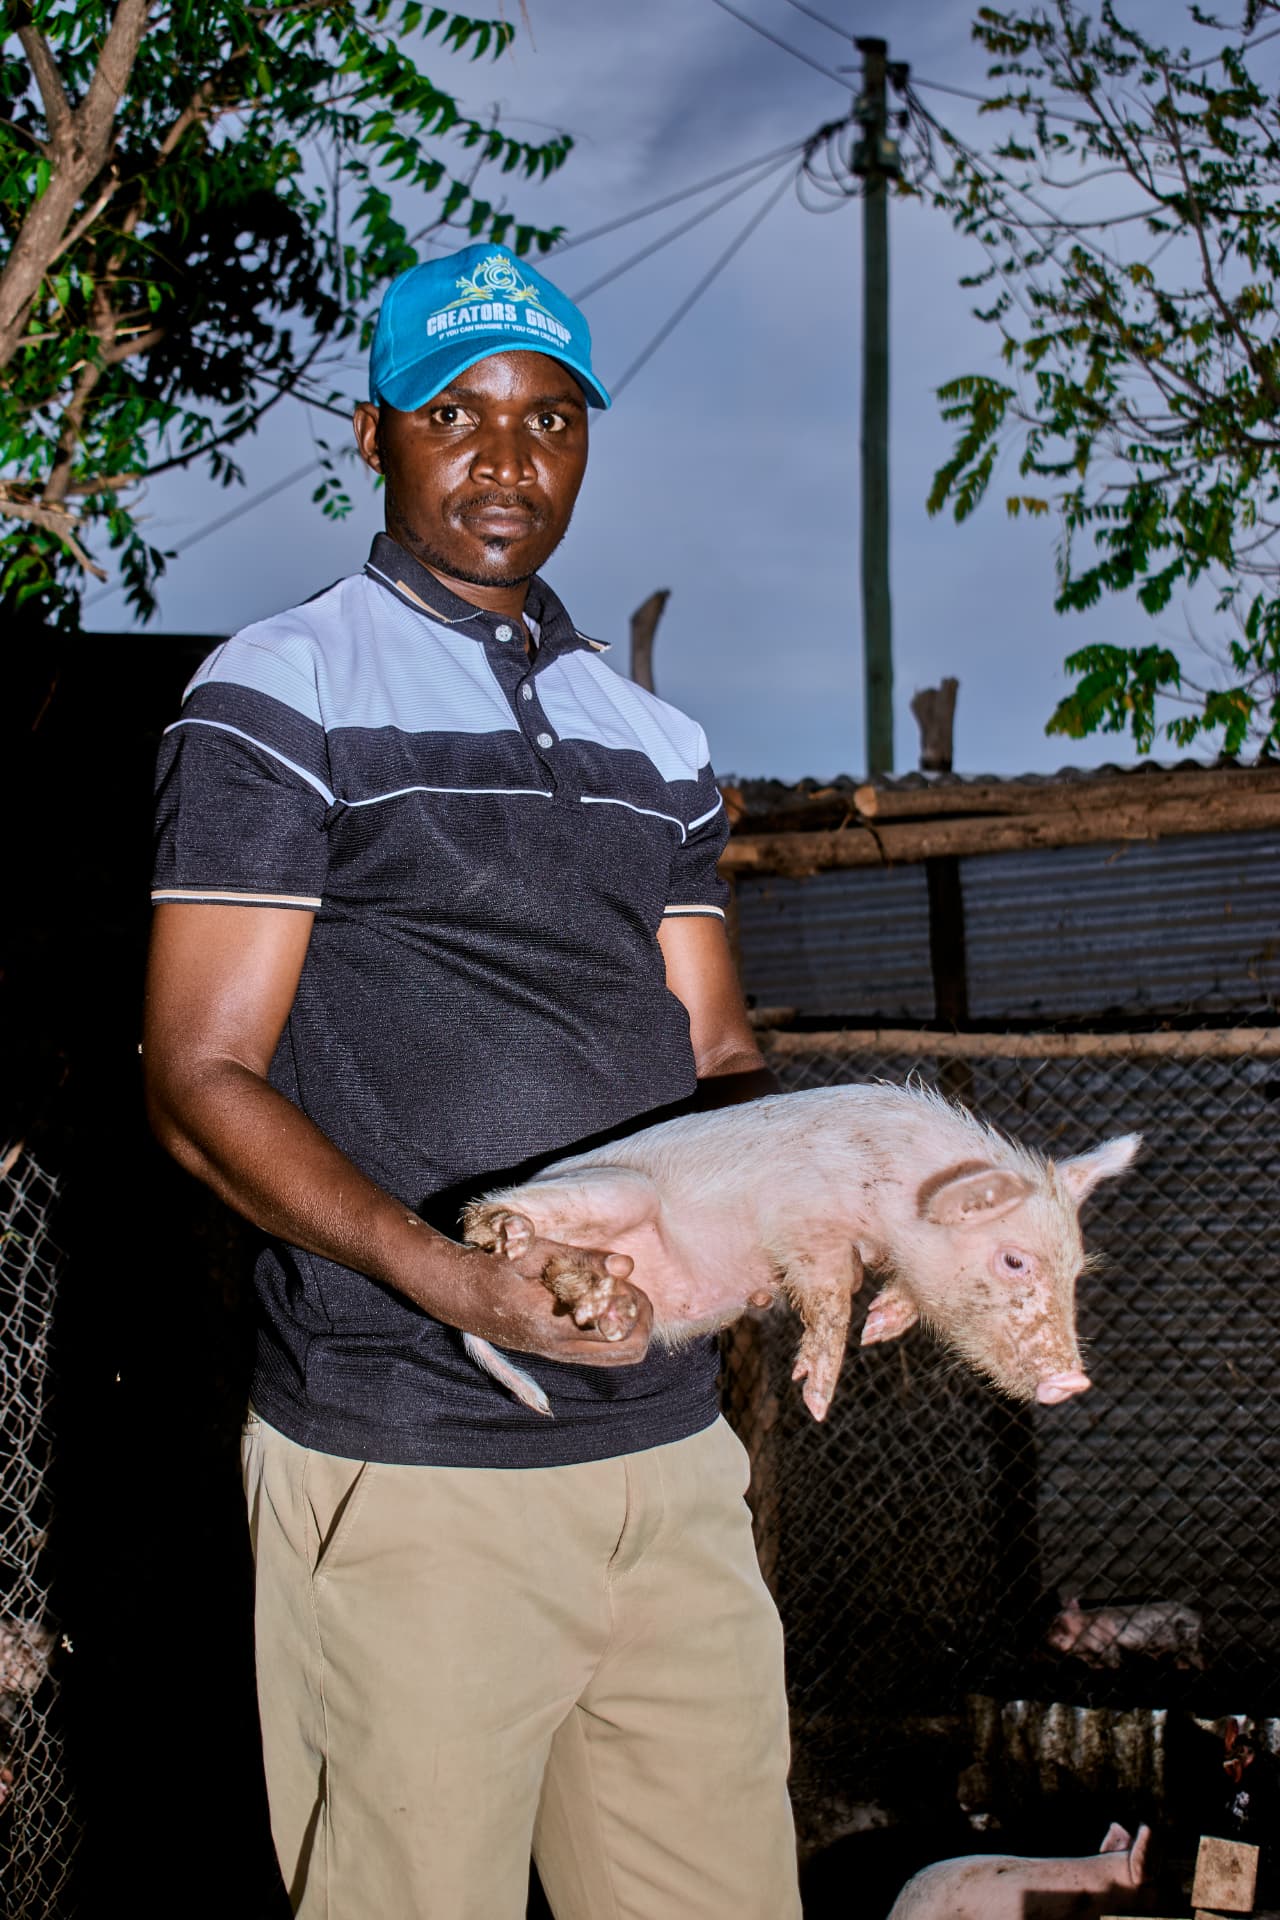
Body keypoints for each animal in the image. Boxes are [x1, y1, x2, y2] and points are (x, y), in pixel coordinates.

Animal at [460, 1082, 1140, 1420]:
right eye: (1014, 1260)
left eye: (1076, 1271)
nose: (1075, 1381)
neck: (891, 1186)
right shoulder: (803, 1220)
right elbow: (829, 1293)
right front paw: (816, 1397)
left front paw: (882, 1324)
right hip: (616, 1188)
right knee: (481, 1218)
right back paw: (511, 1236)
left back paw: (601, 1302)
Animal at [1047, 1596, 1204, 1669]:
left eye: (1056, 1623)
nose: (1048, 1639)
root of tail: (1198, 1615)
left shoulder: (1106, 1646)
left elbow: (1113, 1661)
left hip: (1188, 1638)